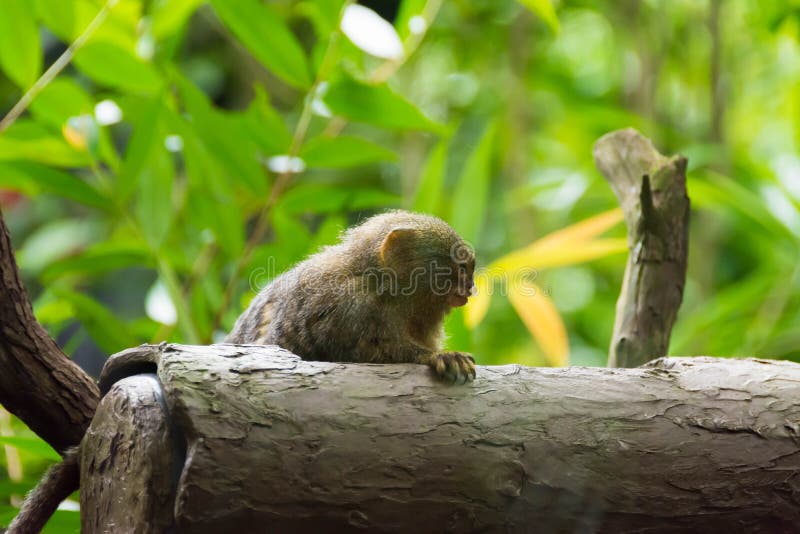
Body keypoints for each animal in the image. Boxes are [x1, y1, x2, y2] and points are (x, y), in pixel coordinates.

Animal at [227, 211, 476, 384]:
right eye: (462, 268)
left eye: (471, 269)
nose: (471, 287)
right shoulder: (348, 306)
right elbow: (362, 351)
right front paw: (438, 357)